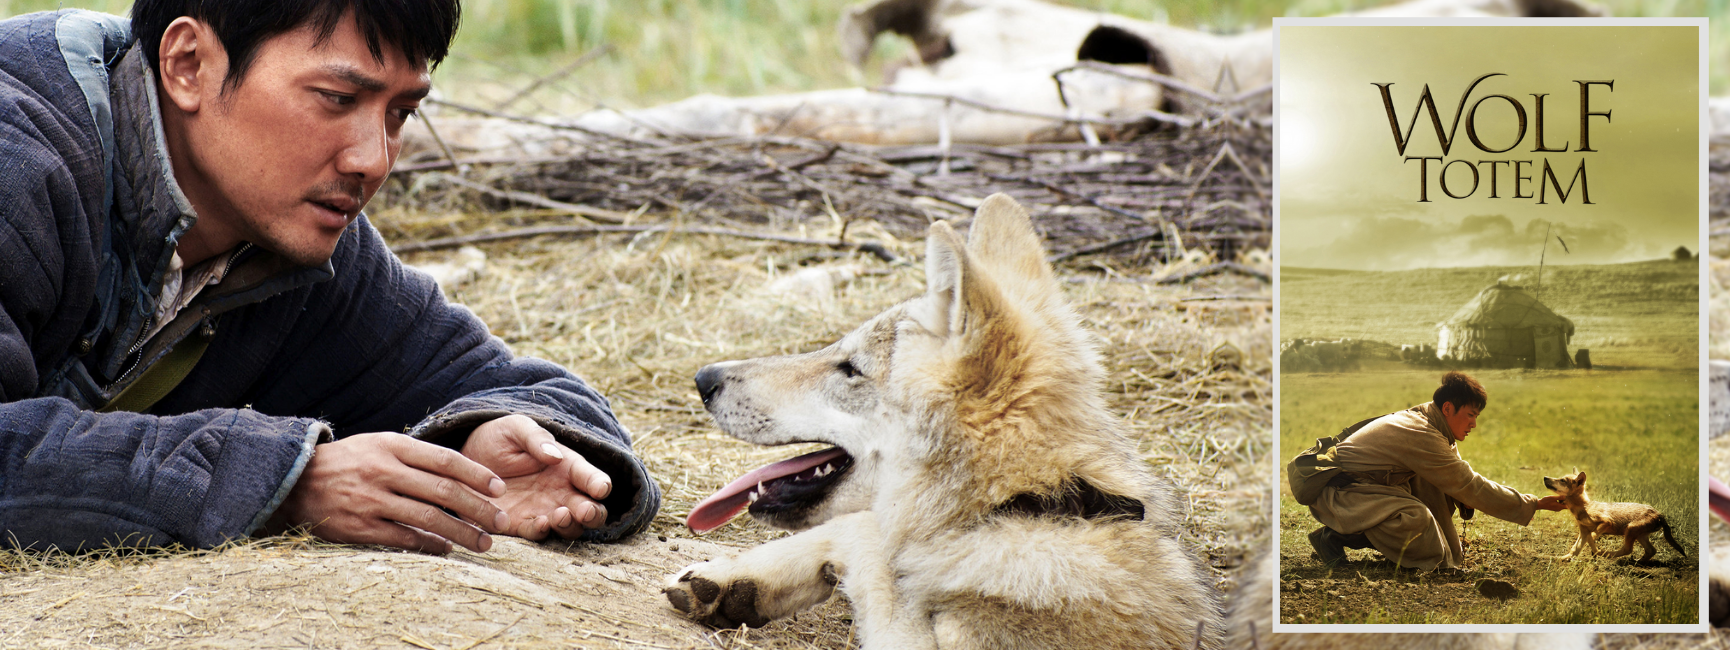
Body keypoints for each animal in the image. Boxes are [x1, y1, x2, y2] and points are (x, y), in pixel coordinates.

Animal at [653, 194, 1224, 650]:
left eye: (850, 368)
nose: (703, 379)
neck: (1030, 506)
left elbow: (867, 536)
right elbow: (862, 533)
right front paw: (733, 582)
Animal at [1550, 470, 1681, 560]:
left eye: (1562, 480)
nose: (1546, 477)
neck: (1584, 507)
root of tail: (1659, 514)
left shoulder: (1606, 522)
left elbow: (1591, 537)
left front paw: (1596, 551)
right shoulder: (1583, 531)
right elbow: (1575, 549)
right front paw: (1560, 559)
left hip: (1630, 530)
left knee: (1628, 550)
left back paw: (1606, 554)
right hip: (1640, 535)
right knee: (1651, 550)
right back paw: (1637, 562)